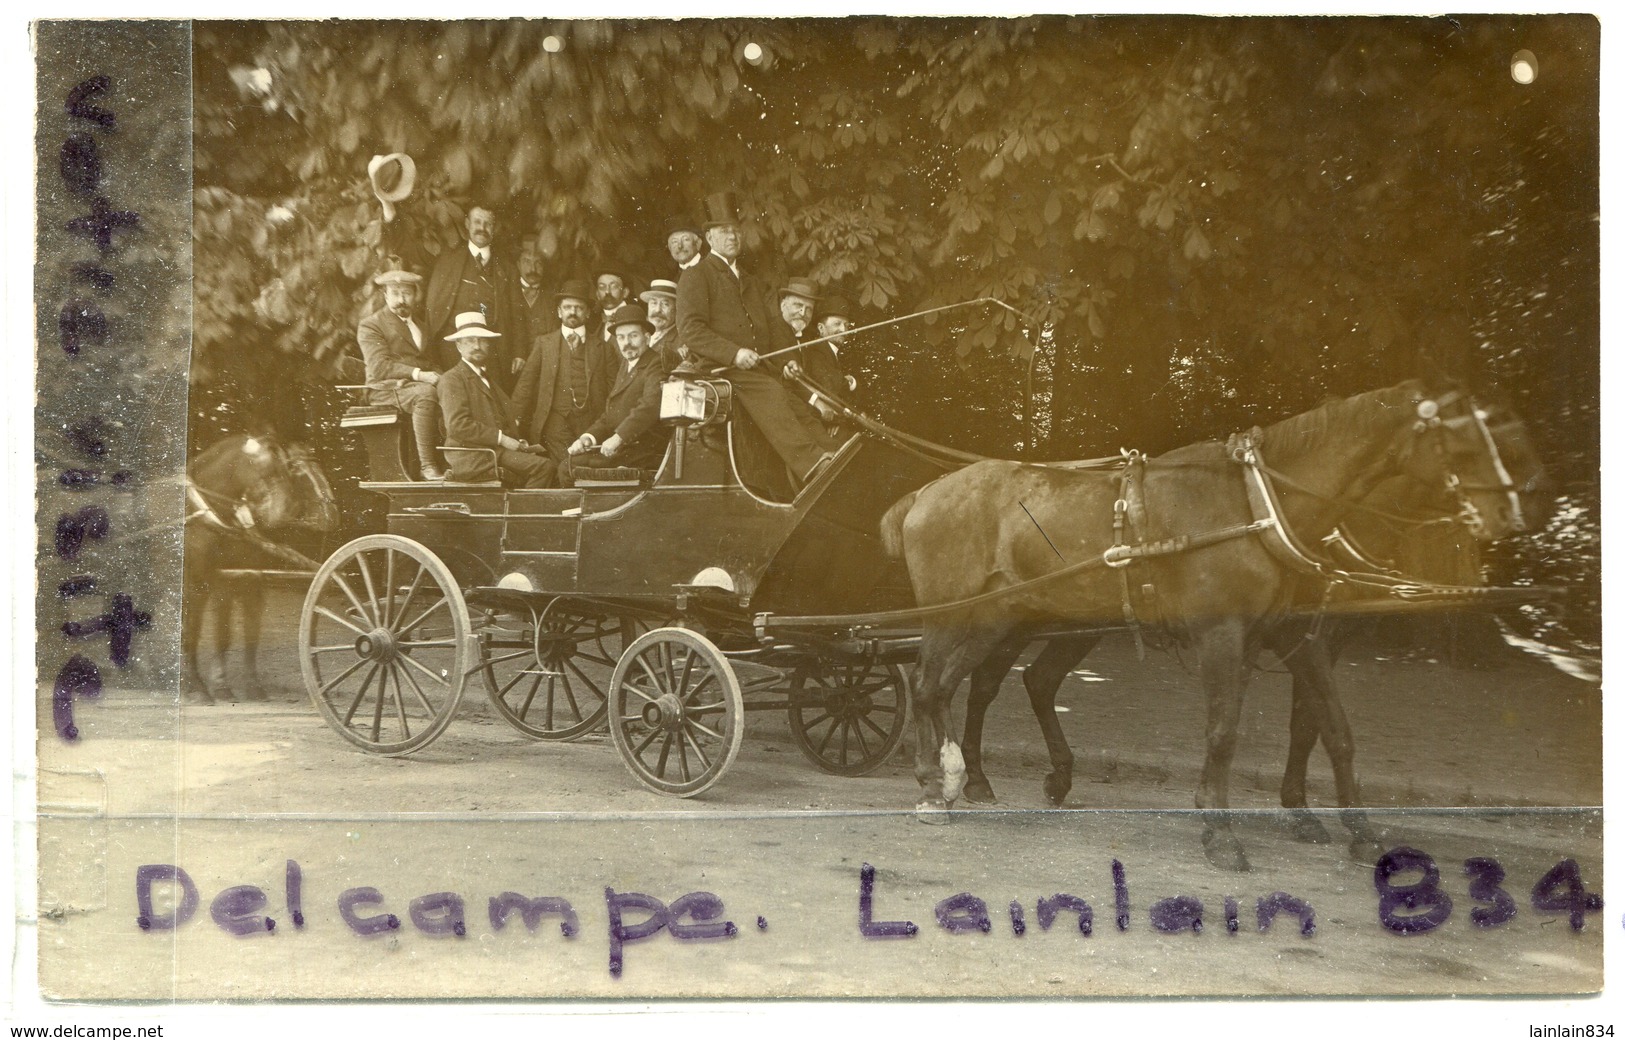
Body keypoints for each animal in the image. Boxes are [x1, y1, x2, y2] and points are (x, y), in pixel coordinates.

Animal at [182, 435, 338, 702]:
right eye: (294, 470)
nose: (331, 514)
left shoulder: (245, 578)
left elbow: (241, 634)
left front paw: (243, 686)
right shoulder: (199, 583)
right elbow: (194, 632)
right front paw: (199, 686)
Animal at [884, 380, 1540, 871]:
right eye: (1466, 440)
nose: (1512, 513)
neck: (1256, 506)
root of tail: (923, 493)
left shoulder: (1298, 640)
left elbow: (1332, 730)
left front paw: (1356, 829)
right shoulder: (1223, 636)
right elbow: (1226, 732)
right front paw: (1221, 832)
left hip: (1011, 619)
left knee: (977, 685)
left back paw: (965, 778)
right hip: (958, 616)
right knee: (930, 684)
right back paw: (935, 783)